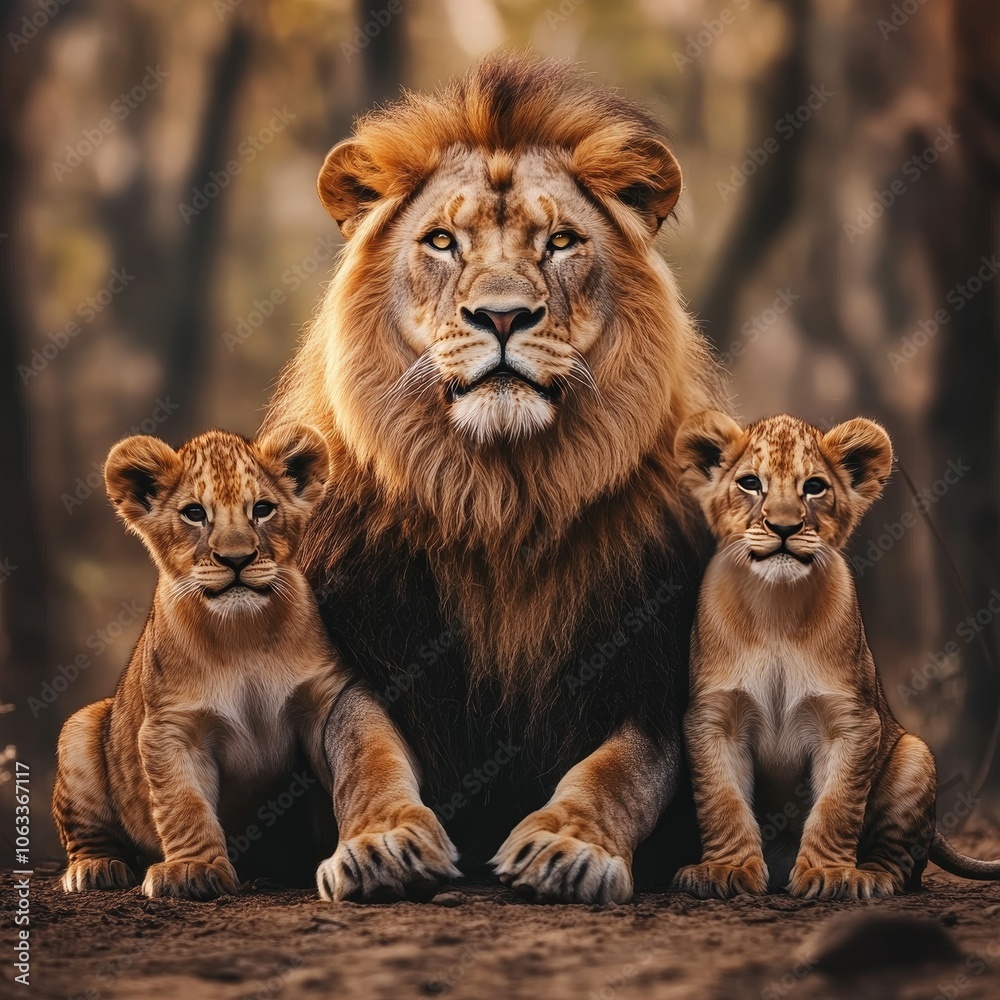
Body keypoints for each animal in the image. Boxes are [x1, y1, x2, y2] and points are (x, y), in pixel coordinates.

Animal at [264, 54, 726, 903]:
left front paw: (567, 847)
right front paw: (384, 845)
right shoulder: (354, 661)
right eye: (443, 242)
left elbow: (622, 771)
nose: (503, 316)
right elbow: (364, 753)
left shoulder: (648, 674)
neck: (500, 500)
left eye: (563, 242)